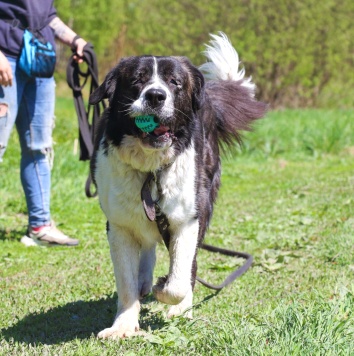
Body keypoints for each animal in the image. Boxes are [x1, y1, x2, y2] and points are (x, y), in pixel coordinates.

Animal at [90, 34, 266, 340]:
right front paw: (123, 324)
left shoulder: (188, 218)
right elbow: (125, 282)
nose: (155, 96)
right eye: (137, 80)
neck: (150, 169)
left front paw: (169, 295)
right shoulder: (119, 226)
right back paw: (145, 280)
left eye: (174, 82)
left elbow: (179, 278)